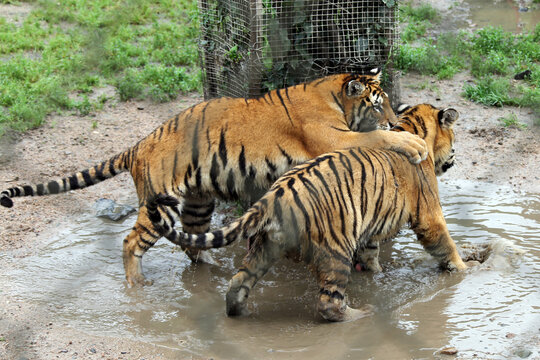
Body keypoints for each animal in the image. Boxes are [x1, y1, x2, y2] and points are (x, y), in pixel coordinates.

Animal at [1, 69, 430, 286]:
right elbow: (377, 137)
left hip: (197, 203)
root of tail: (138, 145)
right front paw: (412, 143)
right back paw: (138, 287)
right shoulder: (333, 138)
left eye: (388, 102)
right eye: (377, 105)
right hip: (160, 205)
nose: (394, 117)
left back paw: (211, 269)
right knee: (130, 242)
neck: (334, 95)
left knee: (192, 243)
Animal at [146, 103, 470, 320]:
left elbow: (371, 254)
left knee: (238, 283)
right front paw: (465, 270)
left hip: (265, 247)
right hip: (336, 249)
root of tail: (274, 196)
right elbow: (445, 243)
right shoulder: (428, 214)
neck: (412, 127)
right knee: (329, 304)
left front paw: (377, 275)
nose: (454, 160)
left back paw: (238, 312)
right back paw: (359, 314)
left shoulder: (371, 226)